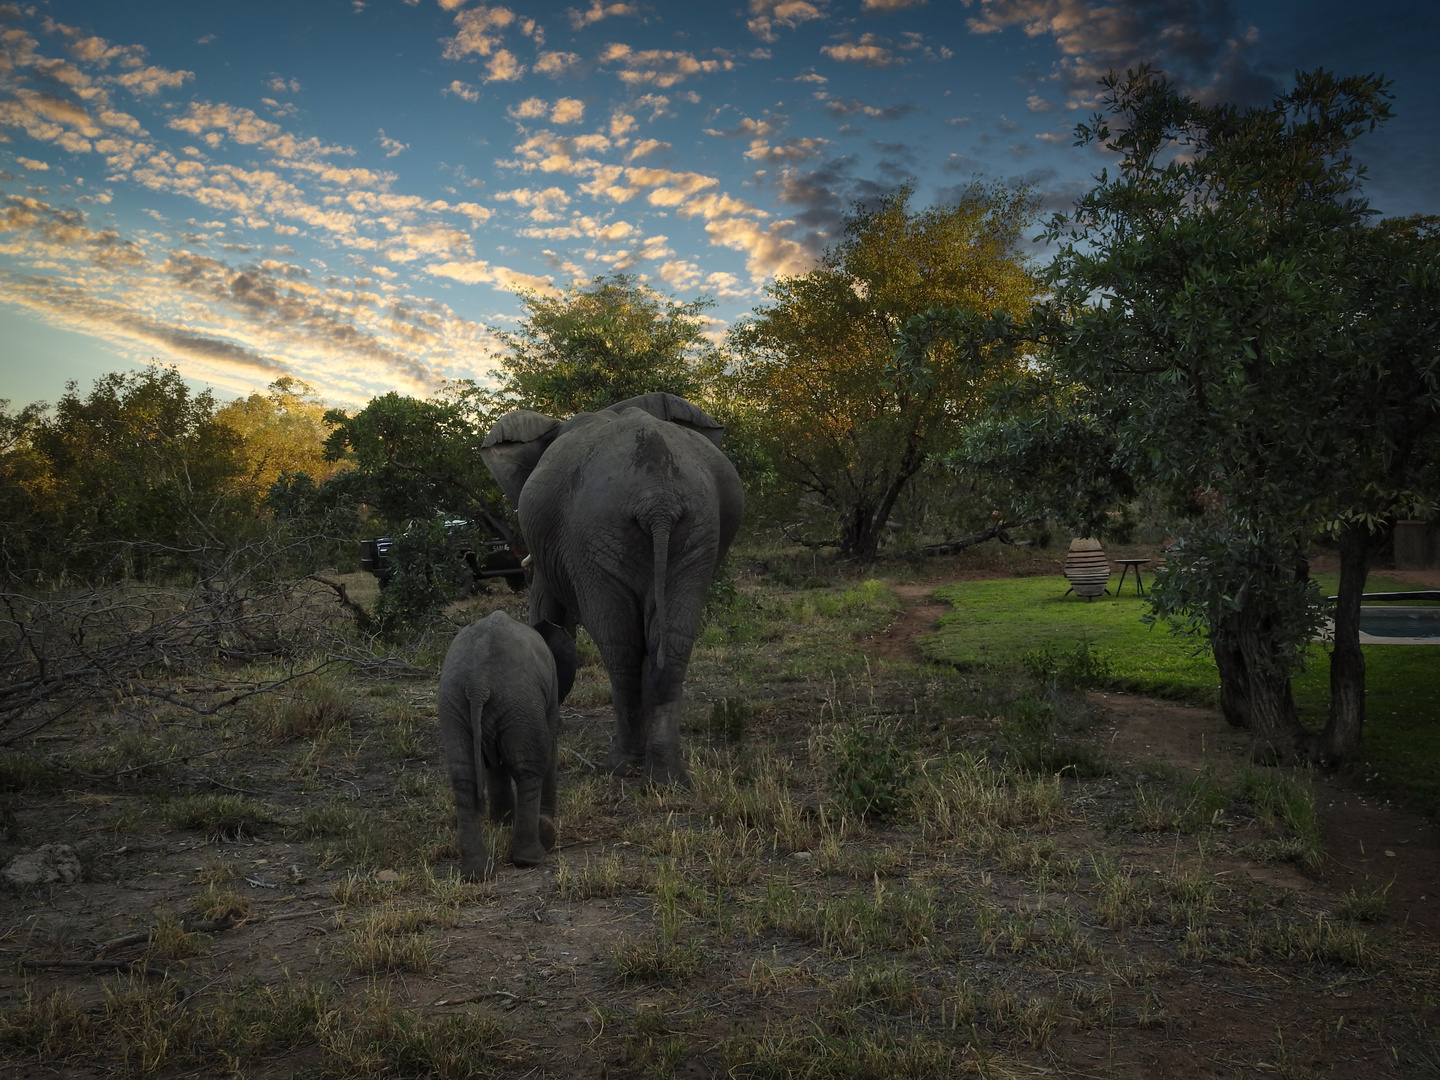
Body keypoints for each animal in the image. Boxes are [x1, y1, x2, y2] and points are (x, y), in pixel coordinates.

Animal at [434, 610, 576, 881]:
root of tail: (477, 684)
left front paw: (502, 823)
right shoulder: (551, 690)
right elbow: (550, 743)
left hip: (454, 706)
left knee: (464, 776)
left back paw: (477, 873)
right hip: (519, 703)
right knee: (529, 770)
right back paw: (531, 856)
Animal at [480, 394, 743, 783]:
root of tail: (657, 496)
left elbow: (547, 612)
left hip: (597, 531)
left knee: (620, 647)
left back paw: (621, 765)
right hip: (693, 530)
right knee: (671, 645)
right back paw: (665, 776)